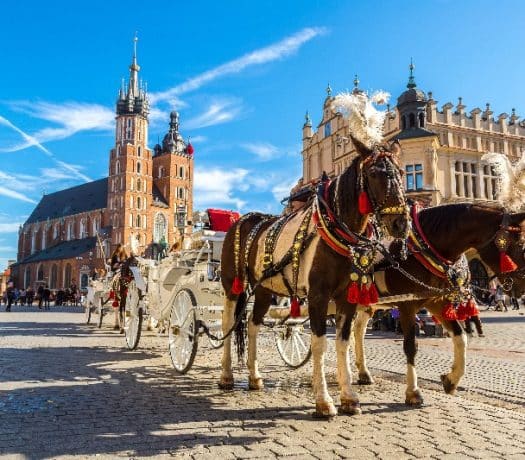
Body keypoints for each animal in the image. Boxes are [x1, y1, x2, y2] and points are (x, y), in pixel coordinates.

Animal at [219, 139, 412, 416]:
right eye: (375, 173)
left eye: (402, 173)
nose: (400, 223)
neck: (338, 230)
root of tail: (242, 219)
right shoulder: (318, 296)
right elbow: (320, 343)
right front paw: (324, 401)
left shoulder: (347, 297)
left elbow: (343, 342)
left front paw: (349, 397)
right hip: (232, 285)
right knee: (228, 323)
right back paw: (226, 376)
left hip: (265, 288)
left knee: (253, 325)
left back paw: (255, 377)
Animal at [350, 203, 524, 404]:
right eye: (520, 244)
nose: (521, 287)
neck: (422, 250)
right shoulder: (407, 306)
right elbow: (411, 347)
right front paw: (413, 391)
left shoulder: (436, 302)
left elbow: (461, 337)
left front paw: (451, 379)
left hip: (366, 304)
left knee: (357, 330)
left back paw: (363, 373)